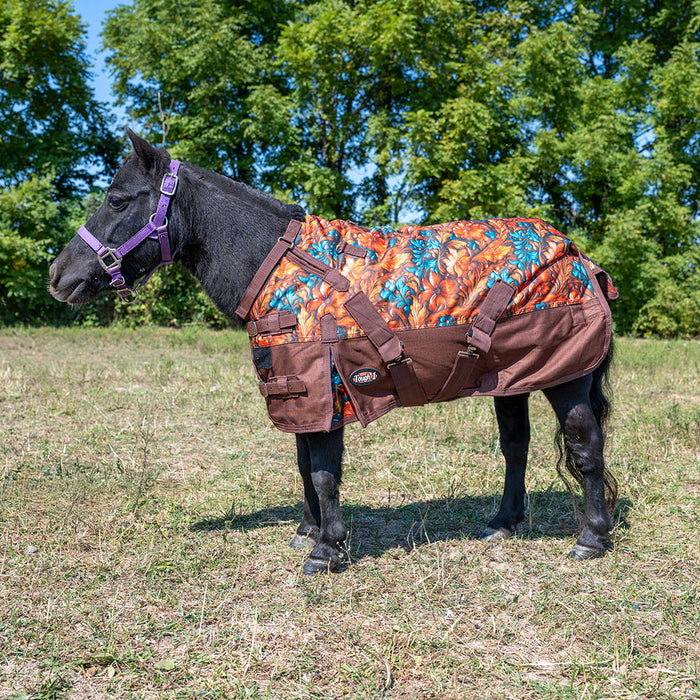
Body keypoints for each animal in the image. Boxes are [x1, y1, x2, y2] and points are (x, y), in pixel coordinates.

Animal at [49, 130, 618, 575]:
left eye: (118, 200)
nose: (58, 275)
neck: (278, 264)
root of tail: (579, 258)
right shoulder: (298, 394)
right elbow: (304, 466)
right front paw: (308, 530)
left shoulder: (325, 393)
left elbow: (323, 473)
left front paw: (326, 549)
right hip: (510, 380)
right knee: (516, 447)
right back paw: (503, 522)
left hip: (565, 381)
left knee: (586, 449)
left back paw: (591, 539)